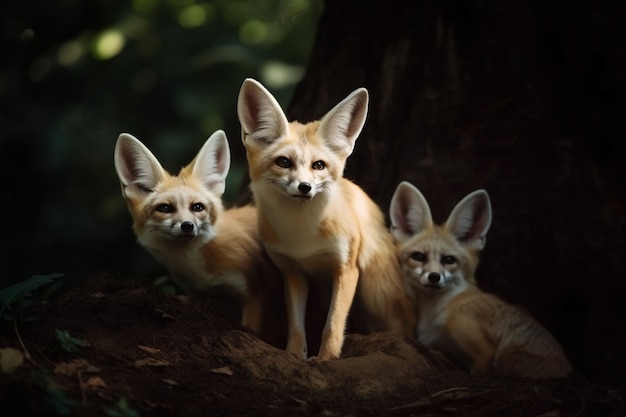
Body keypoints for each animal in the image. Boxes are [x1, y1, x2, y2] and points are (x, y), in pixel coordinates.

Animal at [112, 130, 278, 332]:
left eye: (197, 207)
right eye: (165, 208)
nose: (187, 225)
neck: (197, 270)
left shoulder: (254, 292)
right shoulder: (200, 296)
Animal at [235, 79, 414, 360]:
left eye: (318, 165)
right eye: (283, 162)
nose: (305, 187)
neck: (302, 236)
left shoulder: (346, 268)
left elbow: (333, 325)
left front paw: (326, 359)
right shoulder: (293, 271)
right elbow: (296, 326)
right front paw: (295, 356)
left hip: (375, 291)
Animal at [388, 180, 572, 378]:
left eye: (449, 260)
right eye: (419, 257)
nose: (434, 277)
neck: (438, 311)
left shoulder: (482, 351)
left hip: (505, 357)